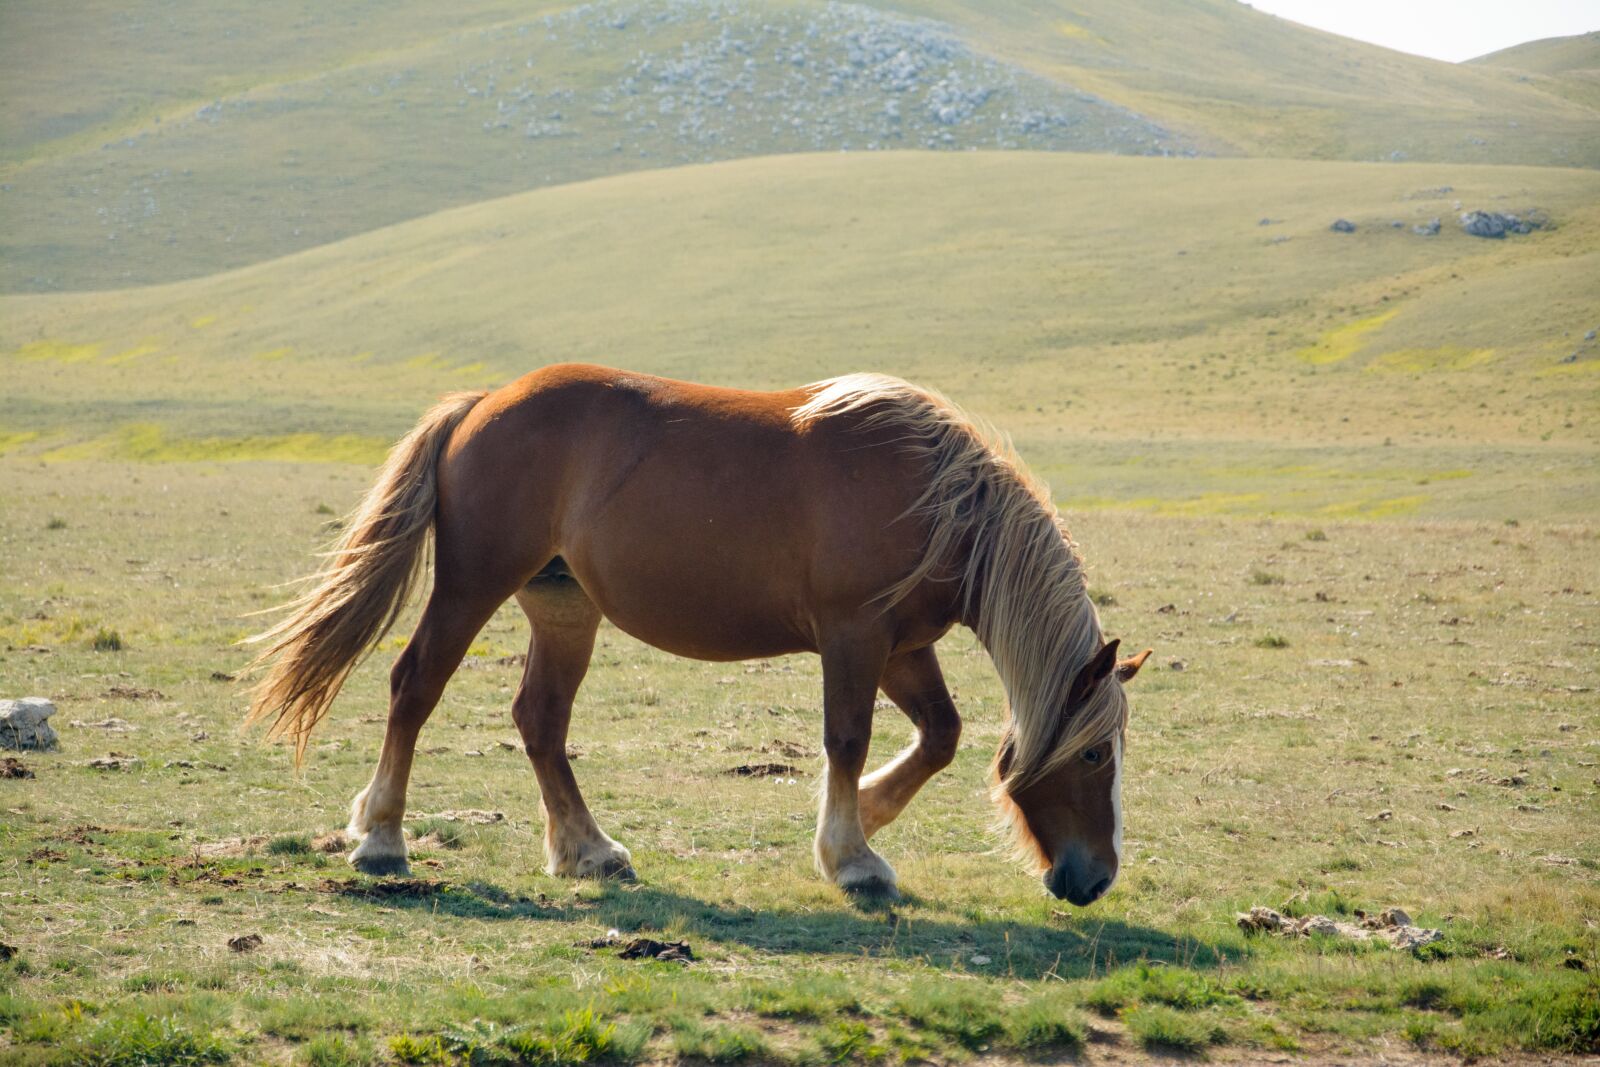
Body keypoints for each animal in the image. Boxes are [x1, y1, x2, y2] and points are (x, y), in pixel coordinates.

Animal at [246, 363, 1151, 903]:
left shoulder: (901, 643)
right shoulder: (854, 635)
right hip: (473, 586)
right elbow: (848, 737)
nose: (1097, 877)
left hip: (564, 609)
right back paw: (382, 838)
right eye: (1093, 755)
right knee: (416, 685)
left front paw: (866, 815)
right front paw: (852, 854)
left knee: (540, 721)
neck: (936, 500)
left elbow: (940, 734)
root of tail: (483, 404)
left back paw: (588, 849)